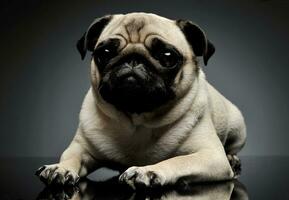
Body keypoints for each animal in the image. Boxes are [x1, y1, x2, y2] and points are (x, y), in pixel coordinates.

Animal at [35, 12, 245, 189]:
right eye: (105, 52)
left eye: (168, 56)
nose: (133, 59)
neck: (137, 120)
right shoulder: (81, 147)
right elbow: (71, 157)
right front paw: (60, 168)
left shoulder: (210, 155)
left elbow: (178, 160)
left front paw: (148, 171)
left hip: (237, 125)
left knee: (232, 147)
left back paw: (233, 159)